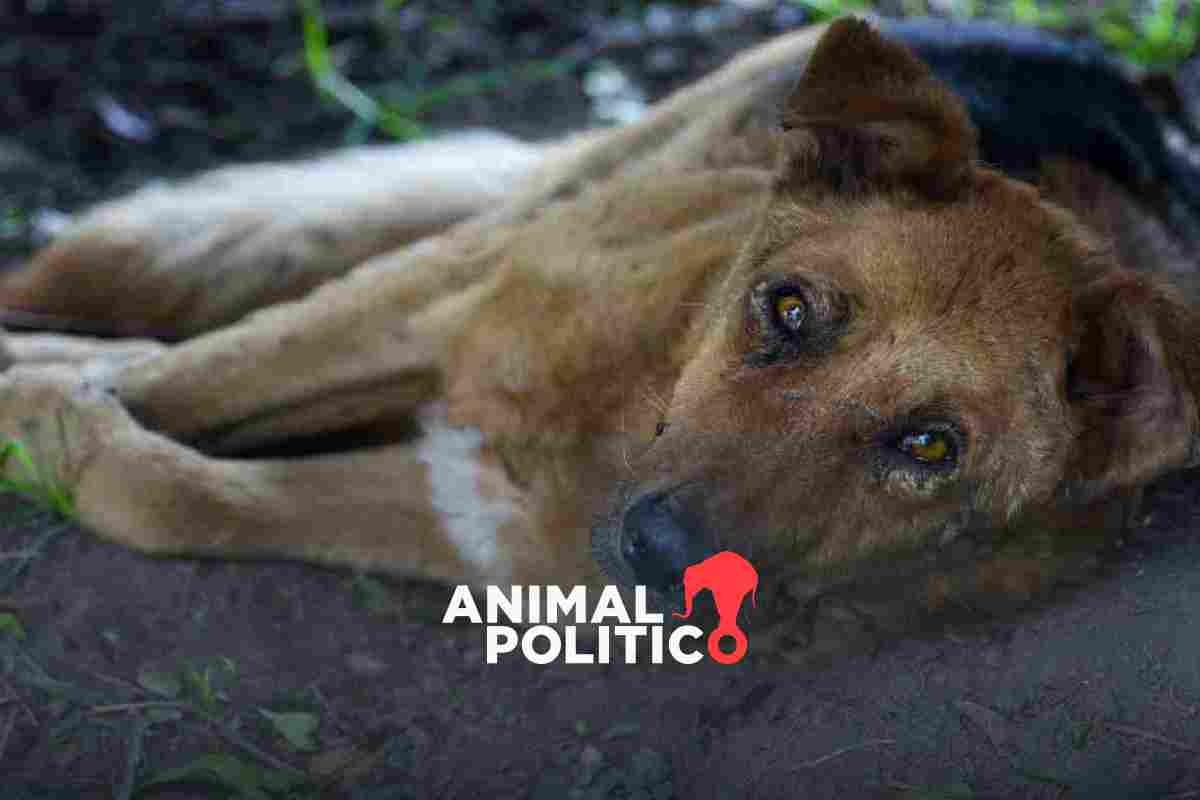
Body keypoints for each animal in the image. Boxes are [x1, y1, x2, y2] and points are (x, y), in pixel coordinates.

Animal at [2, 20, 1200, 657]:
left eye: (930, 446)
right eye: (789, 310)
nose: (662, 555)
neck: (628, 401)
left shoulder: (461, 528)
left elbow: (166, 491)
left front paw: (66, 434)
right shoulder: (416, 316)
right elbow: (195, 377)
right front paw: (45, 408)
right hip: (523, 214)